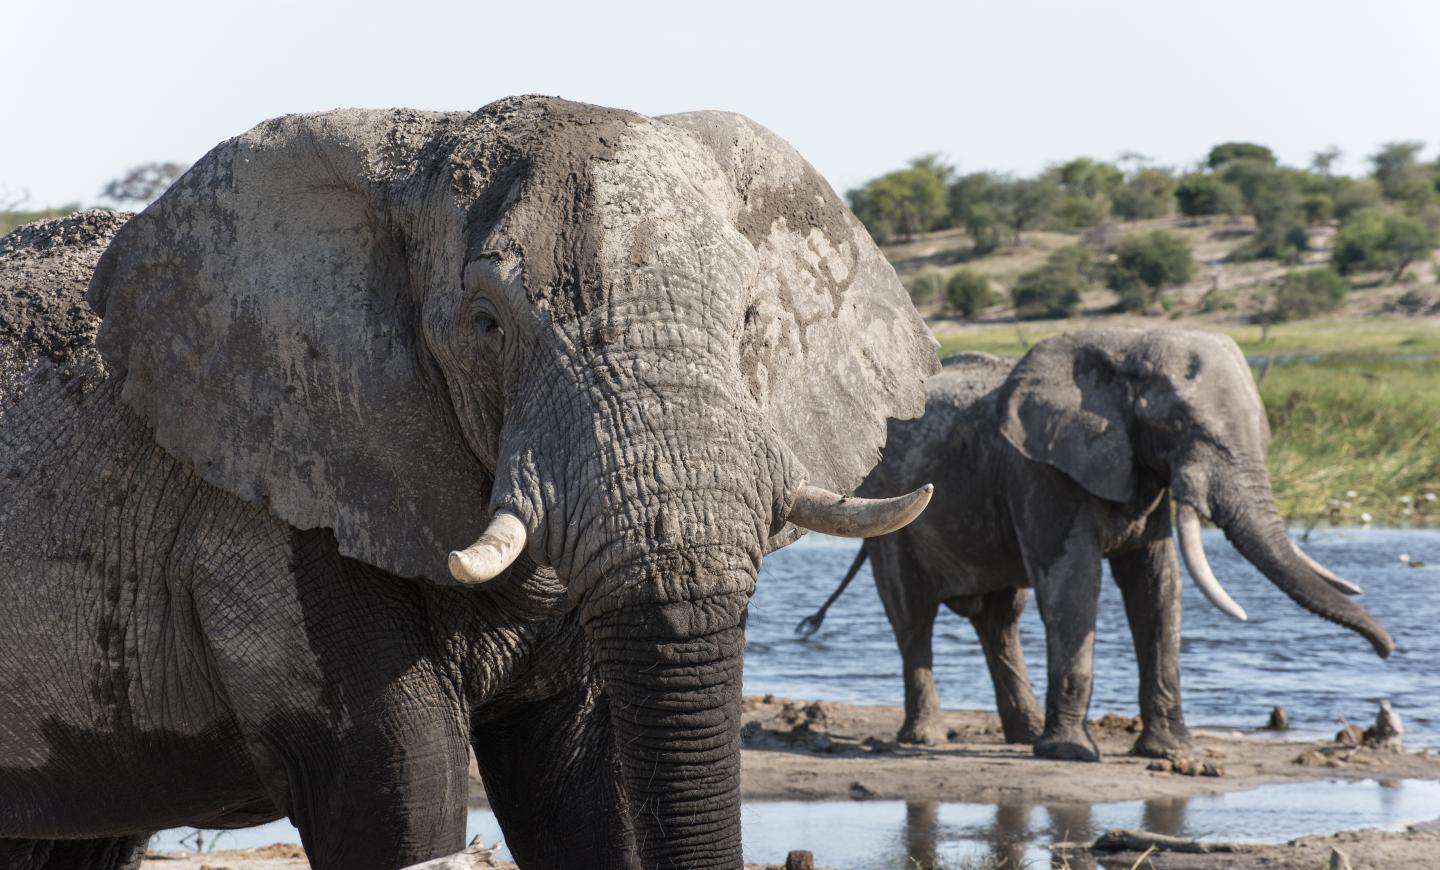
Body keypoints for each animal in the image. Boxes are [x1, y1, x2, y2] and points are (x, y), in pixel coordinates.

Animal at [797, 329, 1391, 762]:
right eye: (1176, 423)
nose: (1386, 651)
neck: (1123, 347)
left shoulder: (1136, 475)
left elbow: (1158, 587)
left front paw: (1171, 752)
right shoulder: (1041, 472)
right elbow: (1073, 583)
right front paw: (1071, 754)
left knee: (1000, 619)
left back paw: (1021, 735)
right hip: (888, 509)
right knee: (913, 616)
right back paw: (926, 739)